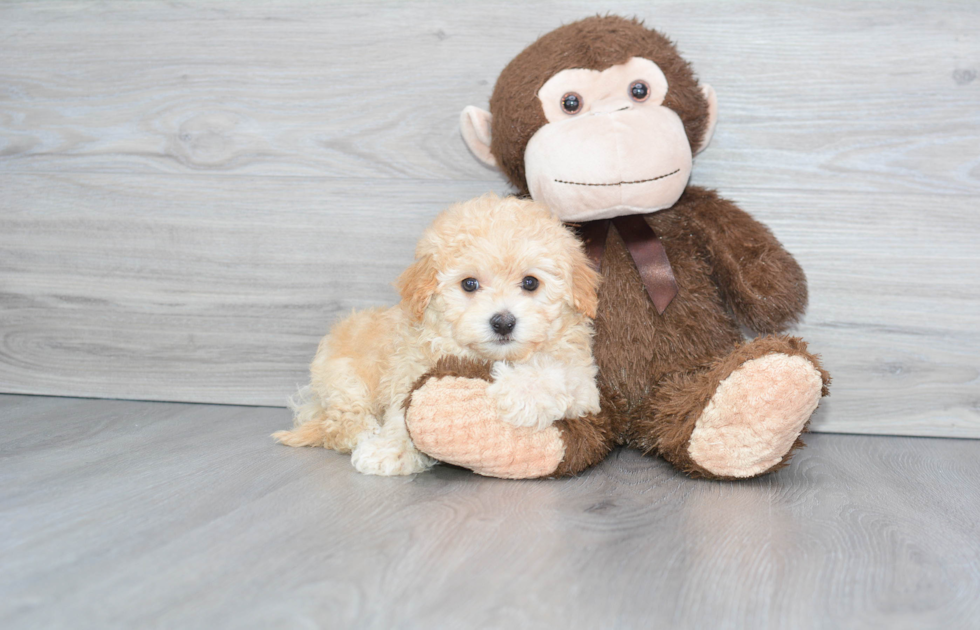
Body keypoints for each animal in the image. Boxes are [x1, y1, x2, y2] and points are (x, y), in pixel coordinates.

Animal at [272, 195, 600, 476]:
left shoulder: (585, 381)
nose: (503, 322)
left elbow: (558, 372)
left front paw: (520, 394)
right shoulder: (409, 371)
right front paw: (390, 450)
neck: (487, 359)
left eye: (531, 283)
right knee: (339, 422)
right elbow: (401, 415)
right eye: (469, 284)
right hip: (341, 374)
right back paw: (363, 431)